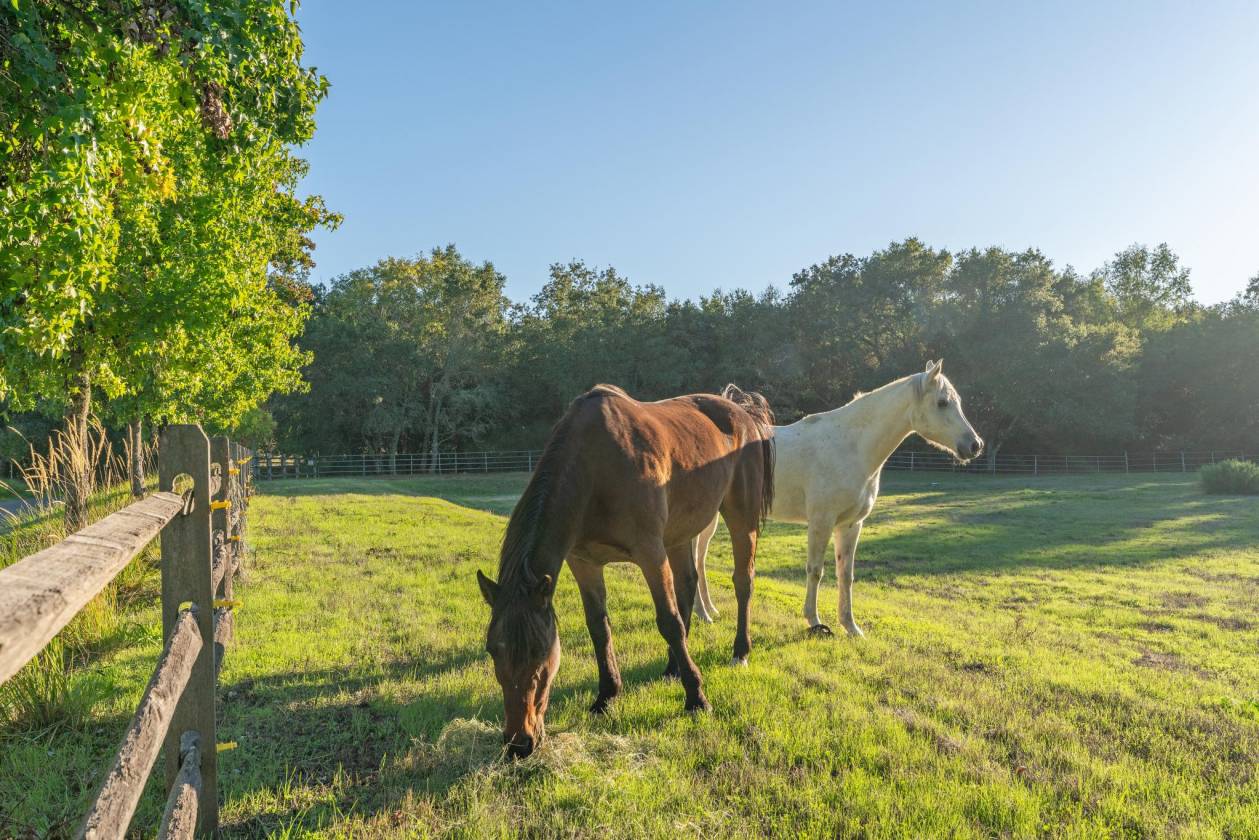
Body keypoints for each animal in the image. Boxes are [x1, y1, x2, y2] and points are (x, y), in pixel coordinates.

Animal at [476, 383, 774, 758]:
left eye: (538, 652)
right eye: (493, 649)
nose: (518, 743)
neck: (594, 470)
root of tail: (741, 410)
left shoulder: (650, 553)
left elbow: (669, 622)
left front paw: (697, 699)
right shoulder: (584, 563)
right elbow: (598, 627)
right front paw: (606, 696)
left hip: (740, 518)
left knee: (742, 582)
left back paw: (739, 652)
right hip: (680, 534)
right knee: (688, 583)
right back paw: (672, 668)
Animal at [693, 360, 982, 636]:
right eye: (942, 402)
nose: (975, 445)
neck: (850, 446)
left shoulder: (850, 525)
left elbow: (846, 575)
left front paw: (850, 626)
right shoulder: (821, 522)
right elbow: (815, 570)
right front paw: (813, 620)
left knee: (700, 559)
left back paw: (708, 610)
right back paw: (703, 614)